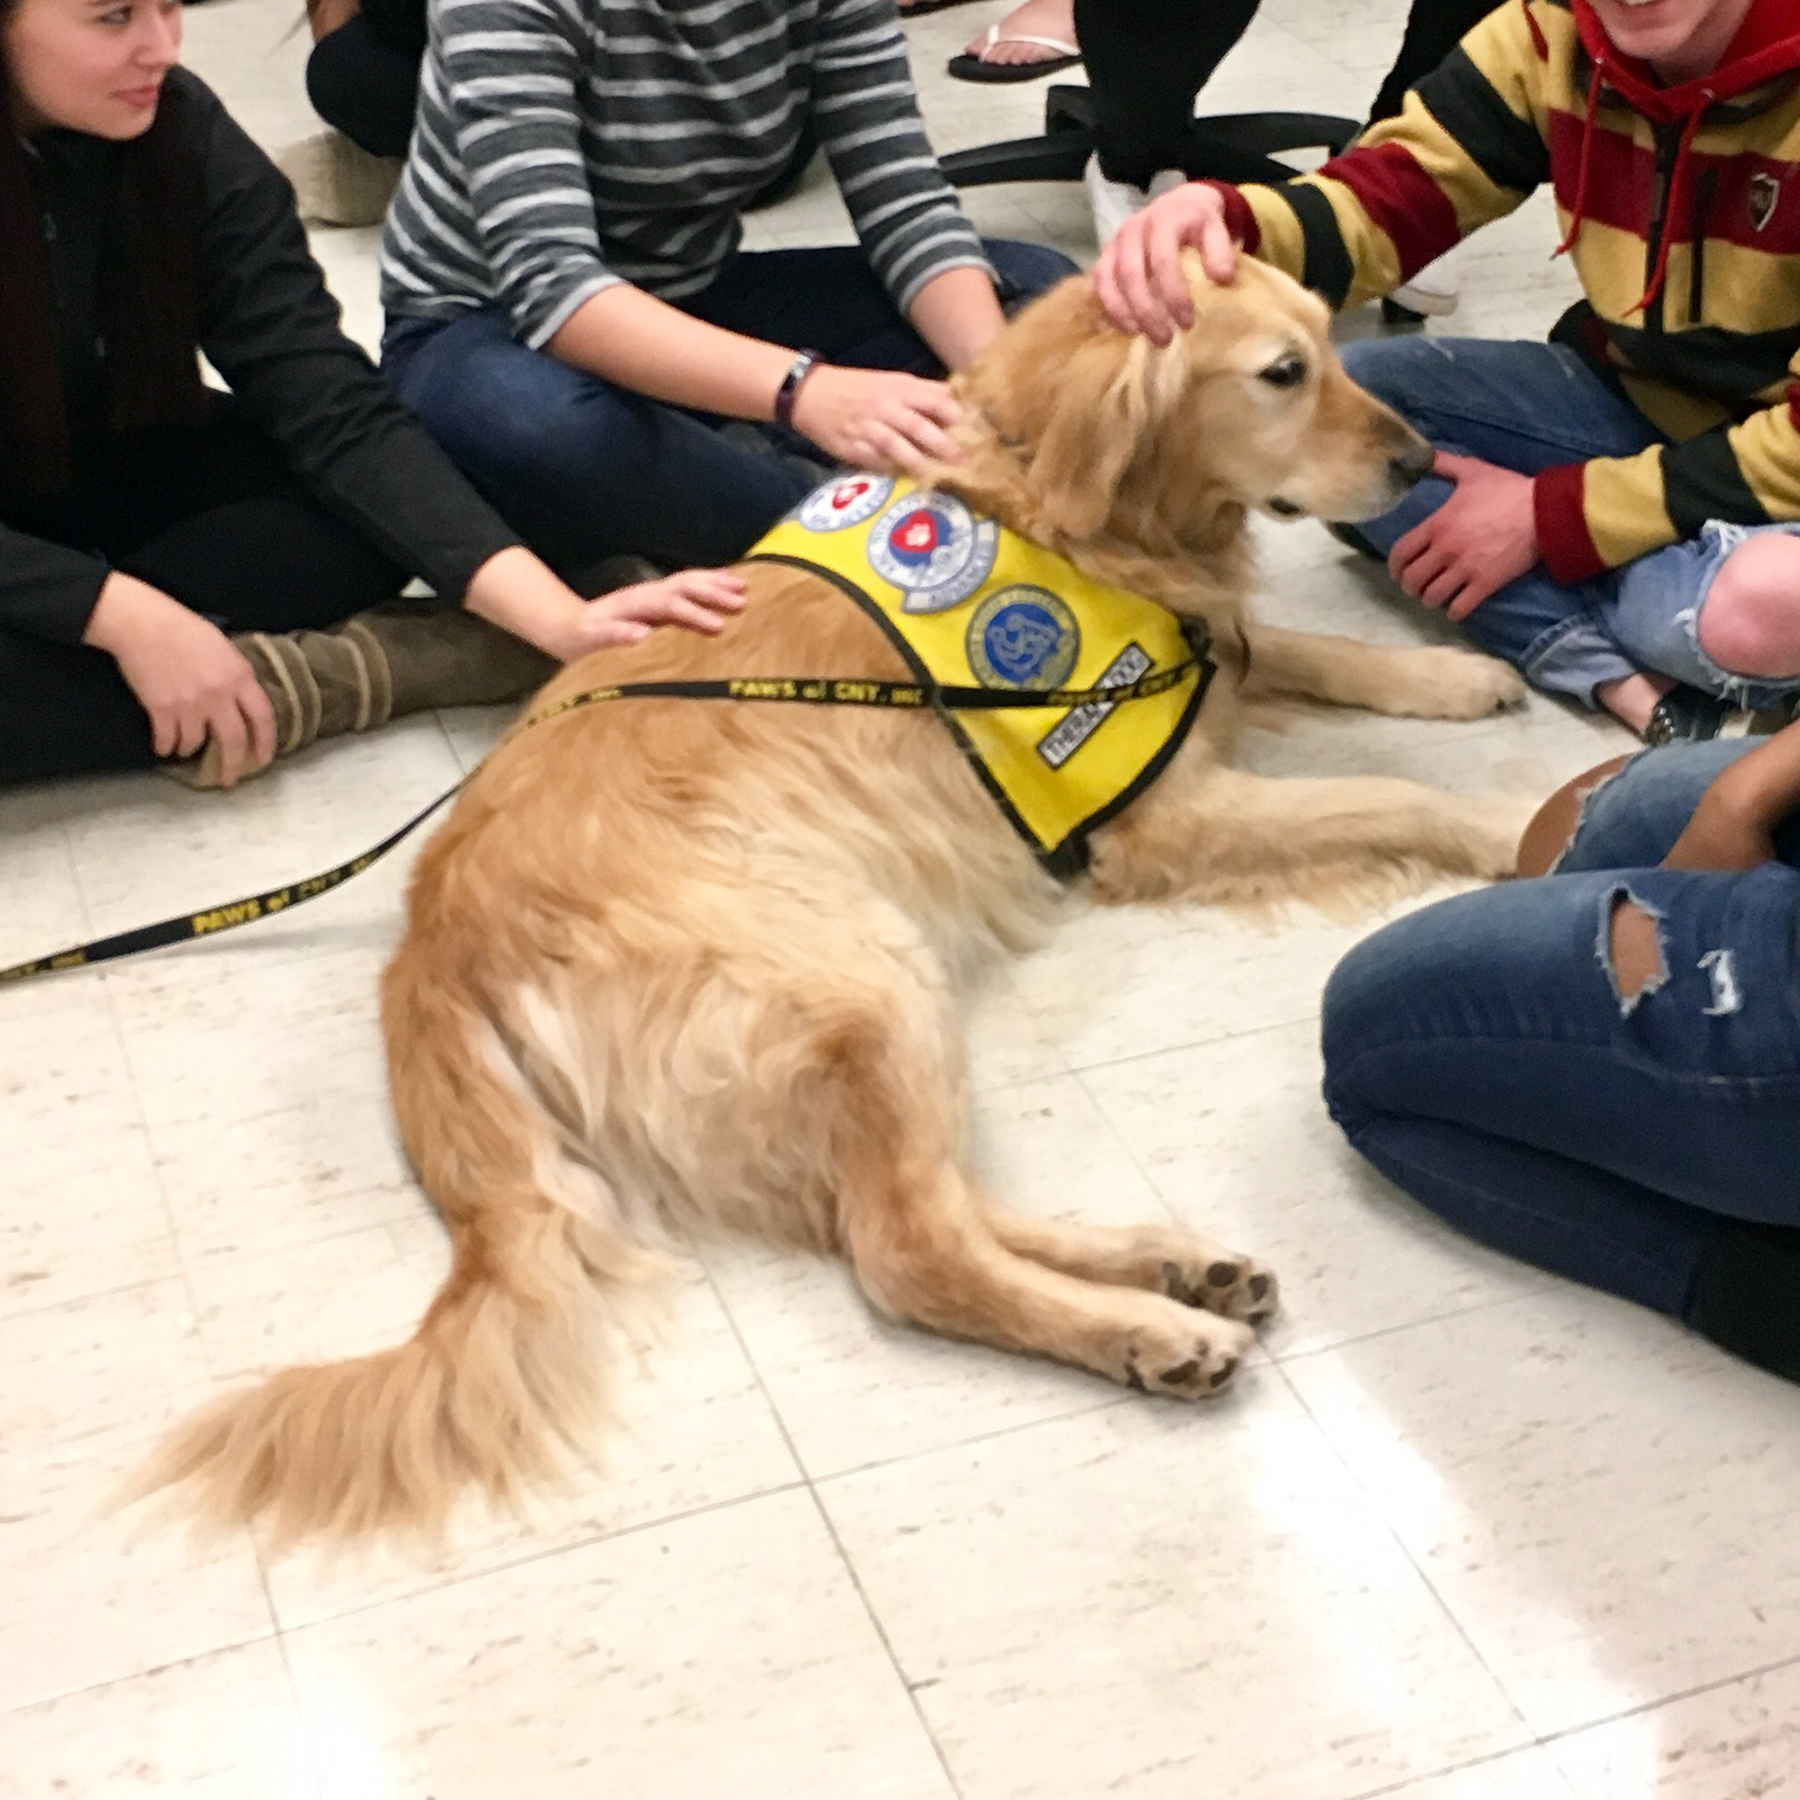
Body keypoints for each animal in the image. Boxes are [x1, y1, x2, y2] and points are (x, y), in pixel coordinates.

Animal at [144, 253, 1533, 1548]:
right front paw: (1526, 823)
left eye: (1327, 343)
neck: (1050, 492)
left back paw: (1173, 1266)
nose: (1424, 463)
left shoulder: (1195, 671)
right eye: (1281, 375)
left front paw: (1457, 680)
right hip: (863, 974)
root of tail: (426, 945)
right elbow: (1383, 795)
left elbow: (1312, 651)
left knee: (930, 1210)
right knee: (908, 1250)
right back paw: (1149, 1330)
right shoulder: (1152, 808)